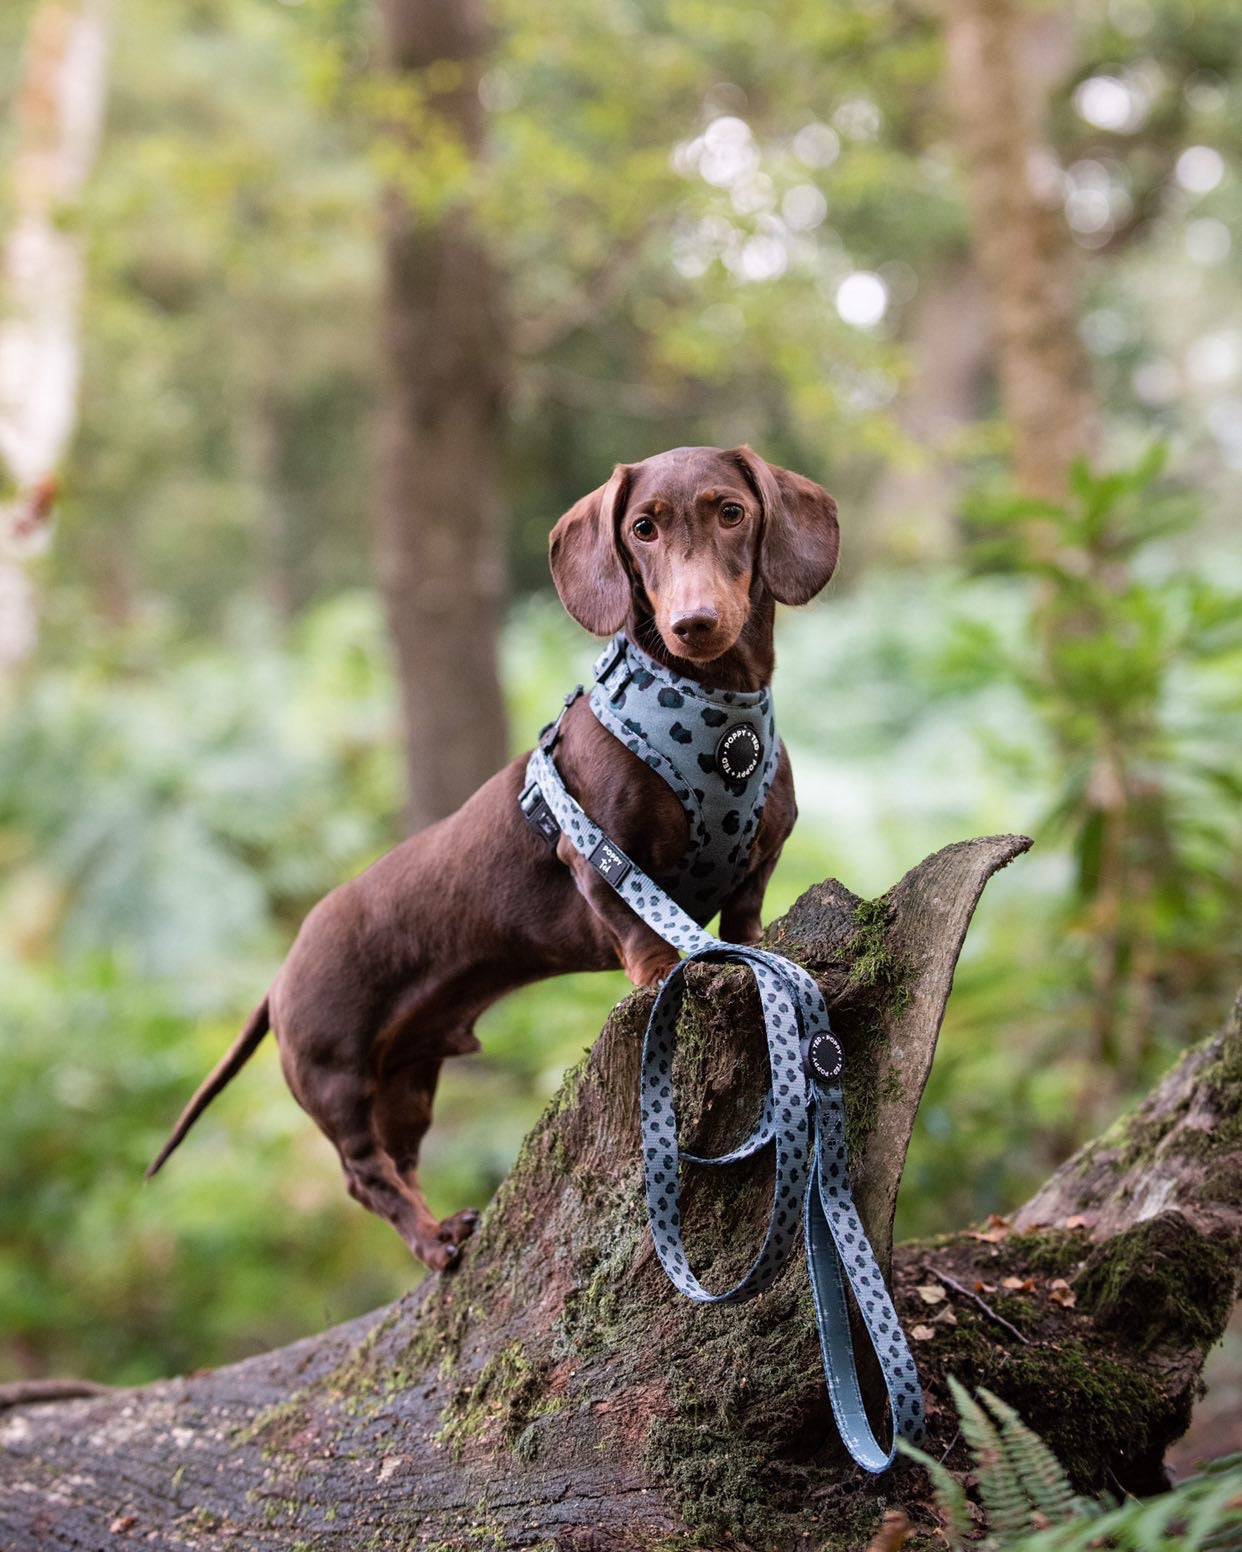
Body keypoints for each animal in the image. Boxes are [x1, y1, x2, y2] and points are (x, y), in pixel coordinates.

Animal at [150, 443, 838, 1266]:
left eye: (731, 512)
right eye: (642, 528)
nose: (693, 622)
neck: (712, 716)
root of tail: (277, 978)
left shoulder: (760, 858)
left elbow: (744, 918)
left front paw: (756, 950)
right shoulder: (595, 857)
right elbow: (637, 926)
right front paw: (661, 973)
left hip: (407, 1082)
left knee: (401, 1158)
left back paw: (442, 1228)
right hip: (337, 1080)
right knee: (366, 1175)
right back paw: (432, 1242)